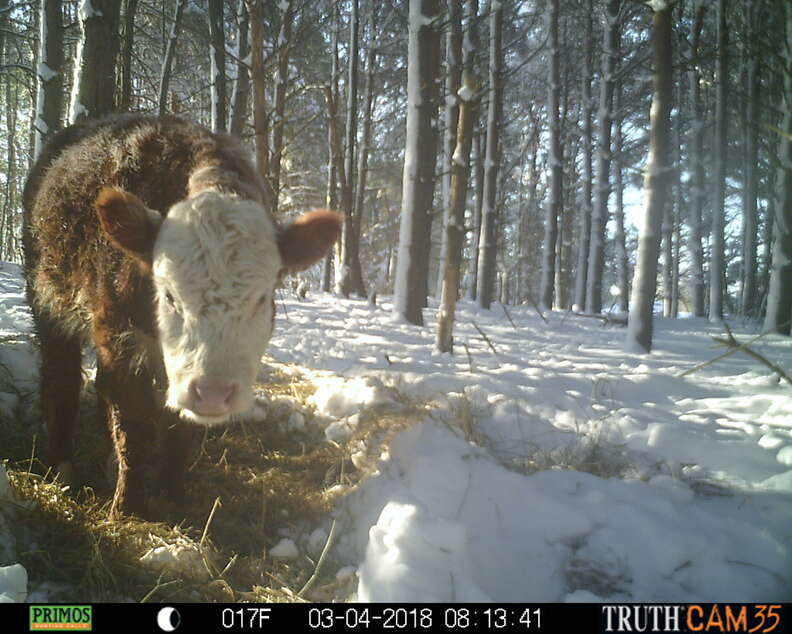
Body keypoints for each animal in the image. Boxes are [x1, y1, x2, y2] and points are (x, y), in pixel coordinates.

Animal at [22, 113, 340, 518]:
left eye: (262, 297)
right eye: (168, 294)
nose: (214, 393)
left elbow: (179, 426)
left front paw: (172, 493)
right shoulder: (118, 333)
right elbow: (134, 420)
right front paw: (128, 505)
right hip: (45, 296)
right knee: (61, 379)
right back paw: (61, 468)